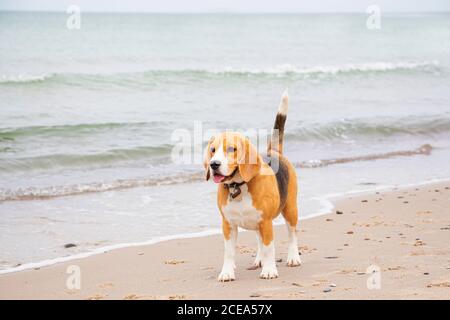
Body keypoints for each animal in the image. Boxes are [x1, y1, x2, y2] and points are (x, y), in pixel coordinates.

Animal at [205, 91, 302, 282]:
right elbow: (229, 252)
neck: (238, 186)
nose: (214, 164)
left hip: (290, 209)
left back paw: (293, 257)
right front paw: (227, 272)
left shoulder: (266, 222)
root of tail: (274, 152)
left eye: (231, 149)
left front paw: (270, 270)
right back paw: (259, 260)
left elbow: (269, 247)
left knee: (292, 234)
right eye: (213, 150)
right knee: (259, 241)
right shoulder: (228, 225)